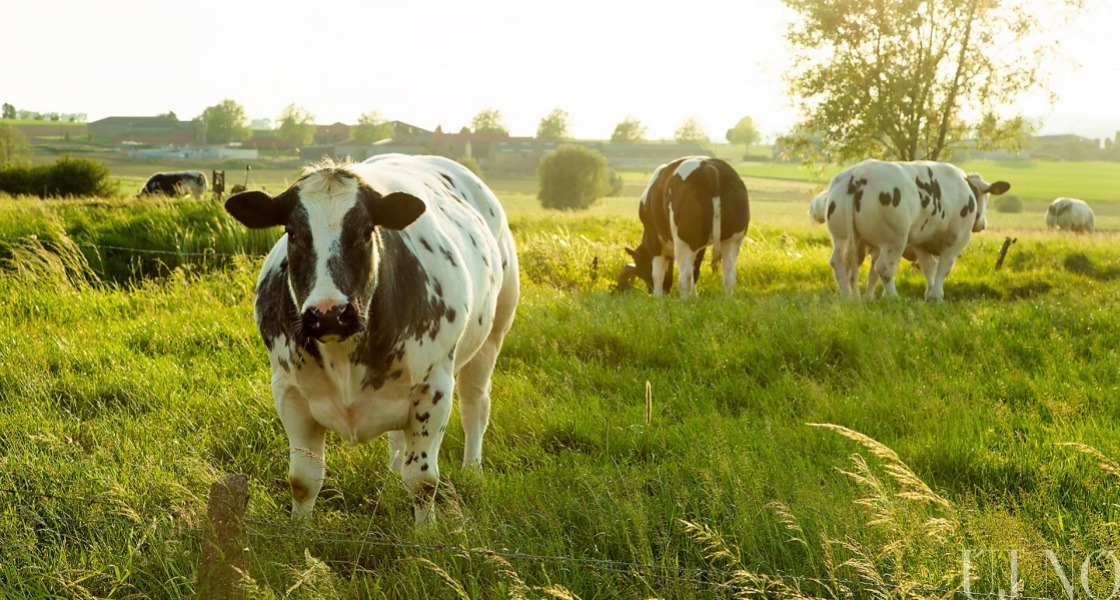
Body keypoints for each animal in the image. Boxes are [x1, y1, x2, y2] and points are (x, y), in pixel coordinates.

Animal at [228, 155, 524, 523]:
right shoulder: (288, 390)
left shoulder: (433, 388)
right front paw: (299, 530)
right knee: (398, 440)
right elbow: (303, 480)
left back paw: (473, 470)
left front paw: (426, 531)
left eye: (366, 231)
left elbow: (423, 481)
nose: (328, 312)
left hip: (494, 333)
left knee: (475, 406)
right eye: (292, 233)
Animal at [618, 154, 748, 295]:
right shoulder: (699, 248)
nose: (650, 289)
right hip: (733, 240)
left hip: (684, 240)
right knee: (729, 274)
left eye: (640, 270)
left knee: (685, 276)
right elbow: (695, 271)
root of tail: (708, 167)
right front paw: (694, 296)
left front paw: (657, 296)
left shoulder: (654, 240)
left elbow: (657, 273)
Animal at [819, 158, 1012, 300]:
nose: (982, 224)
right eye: (985, 196)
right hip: (894, 239)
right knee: (883, 268)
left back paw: (849, 297)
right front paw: (936, 296)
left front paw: (929, 294)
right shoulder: (957, 239)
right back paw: (893, 298)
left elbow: (928, 268)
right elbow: (944, 267)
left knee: (840, 263)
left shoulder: (922, 242)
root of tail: (860, 172)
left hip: (841, 237)